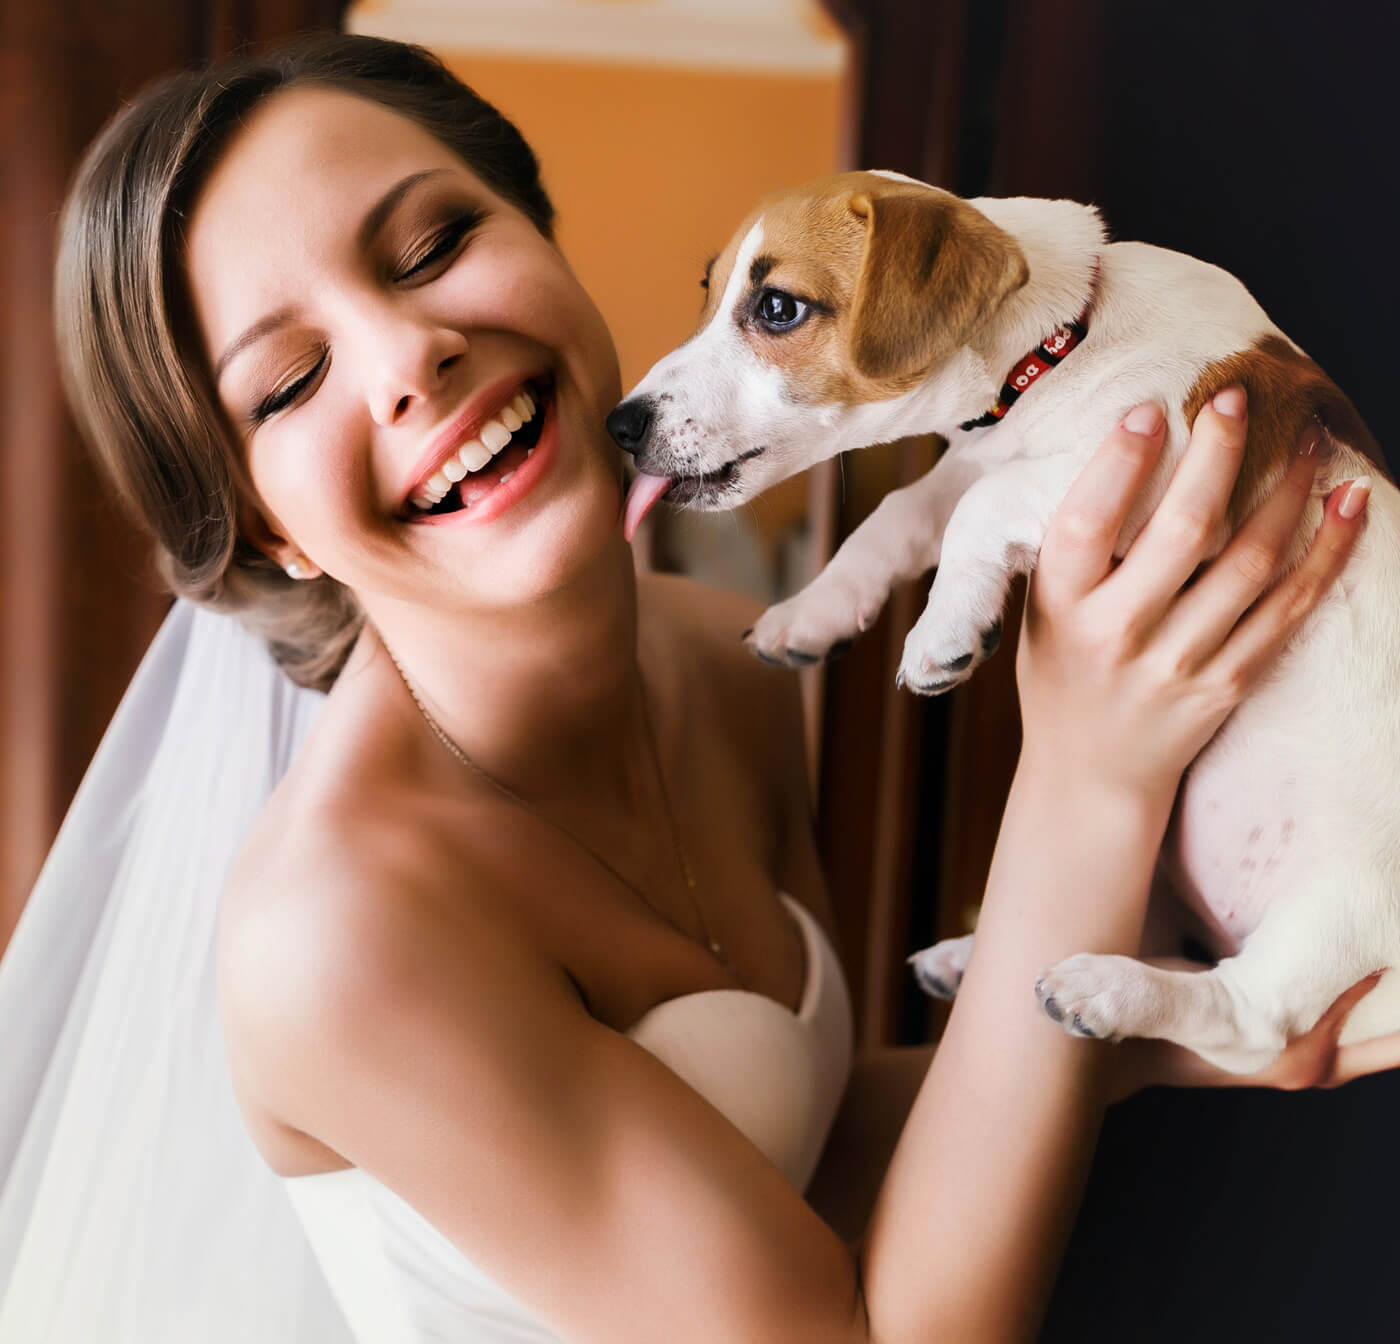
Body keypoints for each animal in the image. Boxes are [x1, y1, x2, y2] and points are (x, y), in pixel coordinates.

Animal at [610, 170, 1400, 1069]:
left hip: (1339, 905)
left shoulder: (1158, 455)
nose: (620, 425)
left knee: (1252, 1022)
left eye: (778, 307)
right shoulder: (978, 460)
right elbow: (904, 512)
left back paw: (1107, 989)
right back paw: (972, 958)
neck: (1062, 341)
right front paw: (815, 611)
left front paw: (940, 636)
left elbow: (979, 506)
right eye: (708, 294)